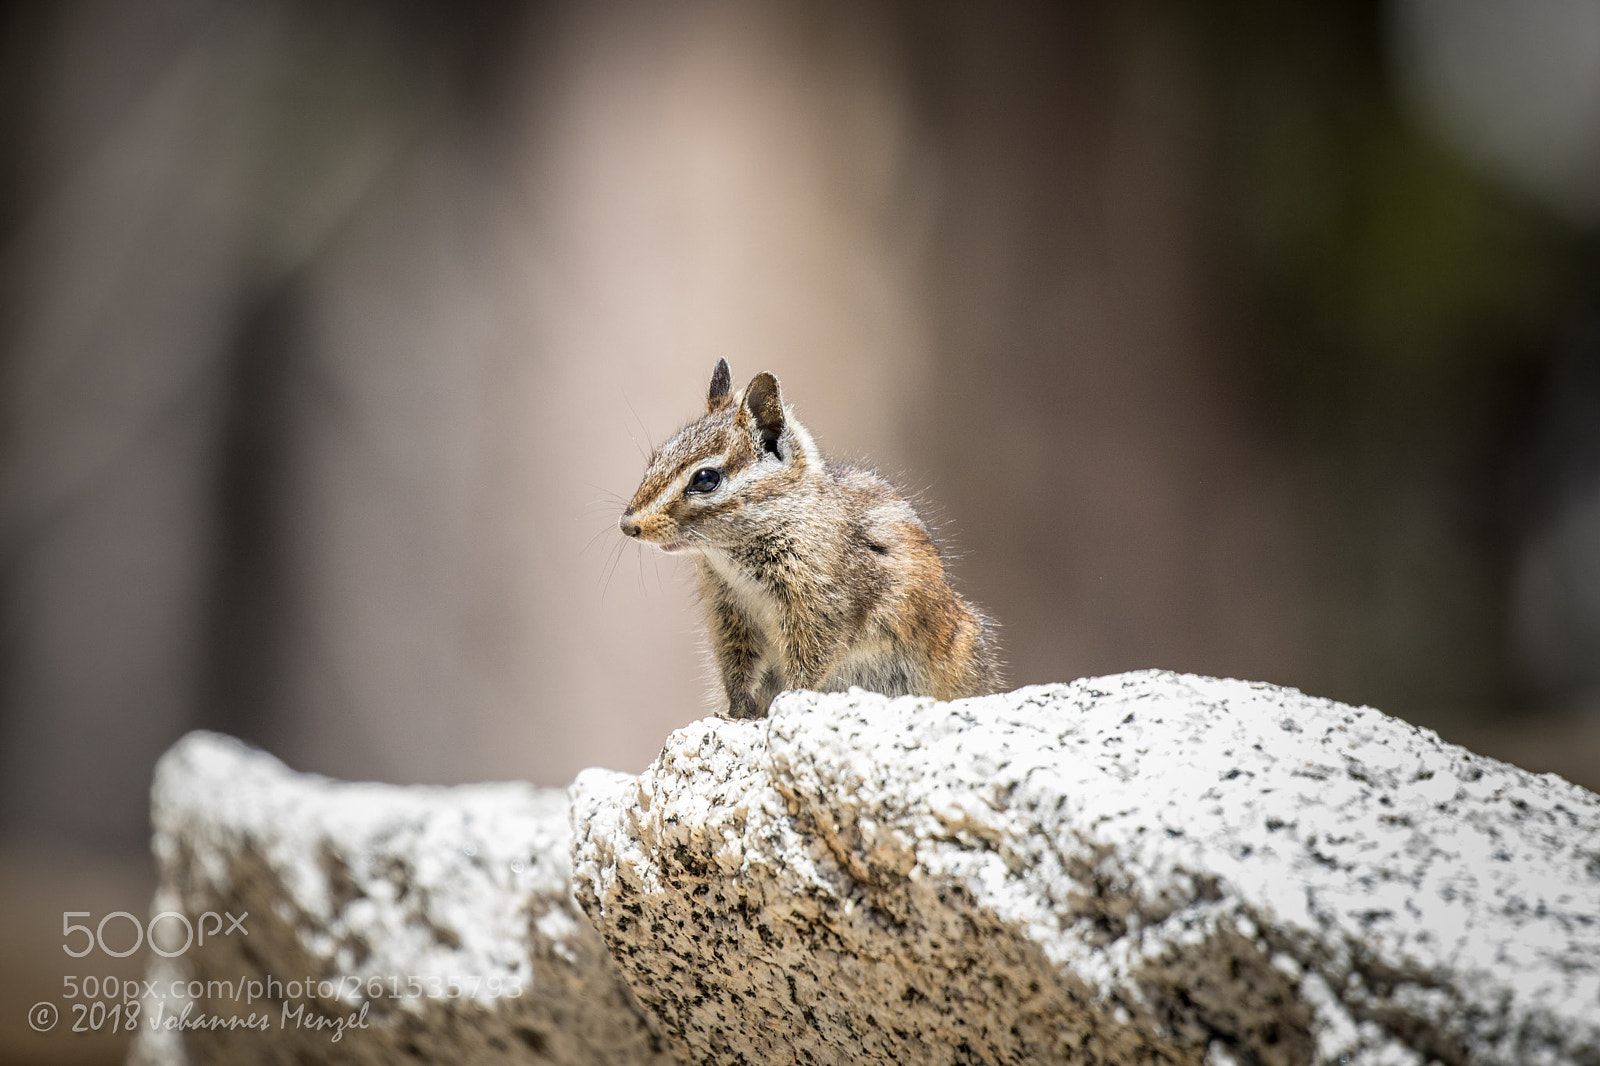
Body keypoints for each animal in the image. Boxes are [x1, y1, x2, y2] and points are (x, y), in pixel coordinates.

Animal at [619, 359, 1000, 719]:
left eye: (705, 478)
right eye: (657, 457)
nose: (628, 525)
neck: (733, 558)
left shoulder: (820, 609)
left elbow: (808, 664)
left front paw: (783, 704)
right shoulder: (728, 614)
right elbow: (736, 669)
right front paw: (736, 714)